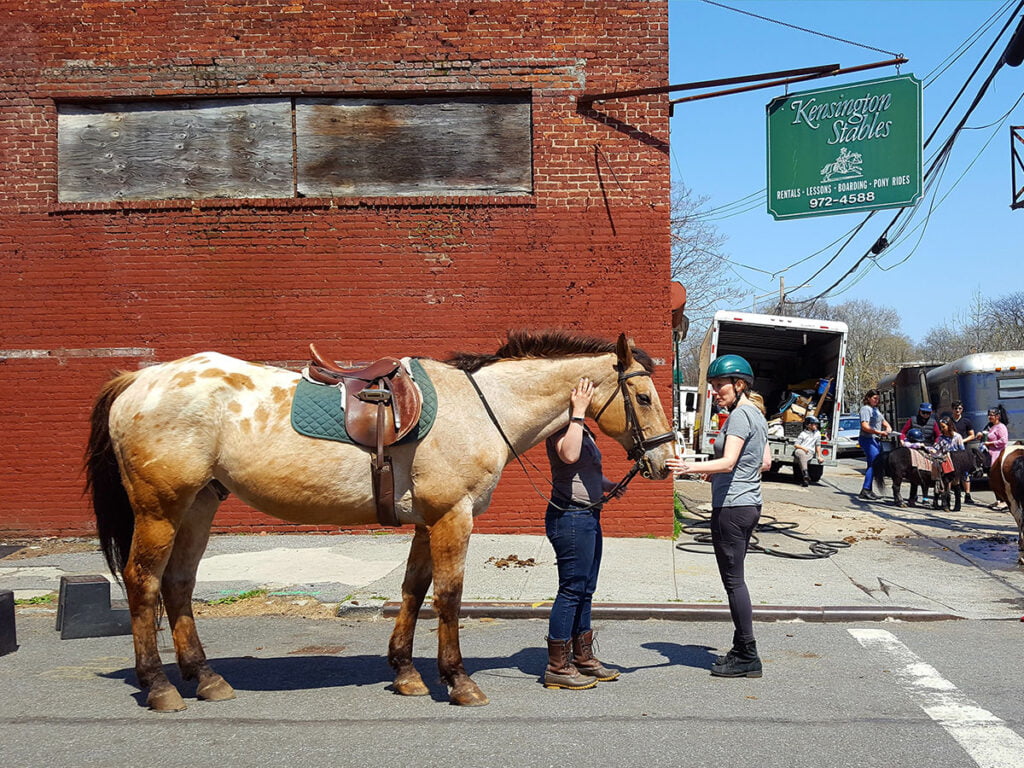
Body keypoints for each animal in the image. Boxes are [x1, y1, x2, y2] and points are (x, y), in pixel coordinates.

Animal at [86, 333, 679, 712]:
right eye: (643, 395)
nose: (664, 461)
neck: (481, 407)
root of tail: (137, 380)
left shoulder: (426, 520)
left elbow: (414, 590)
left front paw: (406, 673)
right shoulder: (453, 516)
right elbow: (448, 597)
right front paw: (457, 681)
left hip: (199, 505)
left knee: (178, 585)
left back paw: (206, 678)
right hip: (161, 508)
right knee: (143, 583)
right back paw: (160, 687)